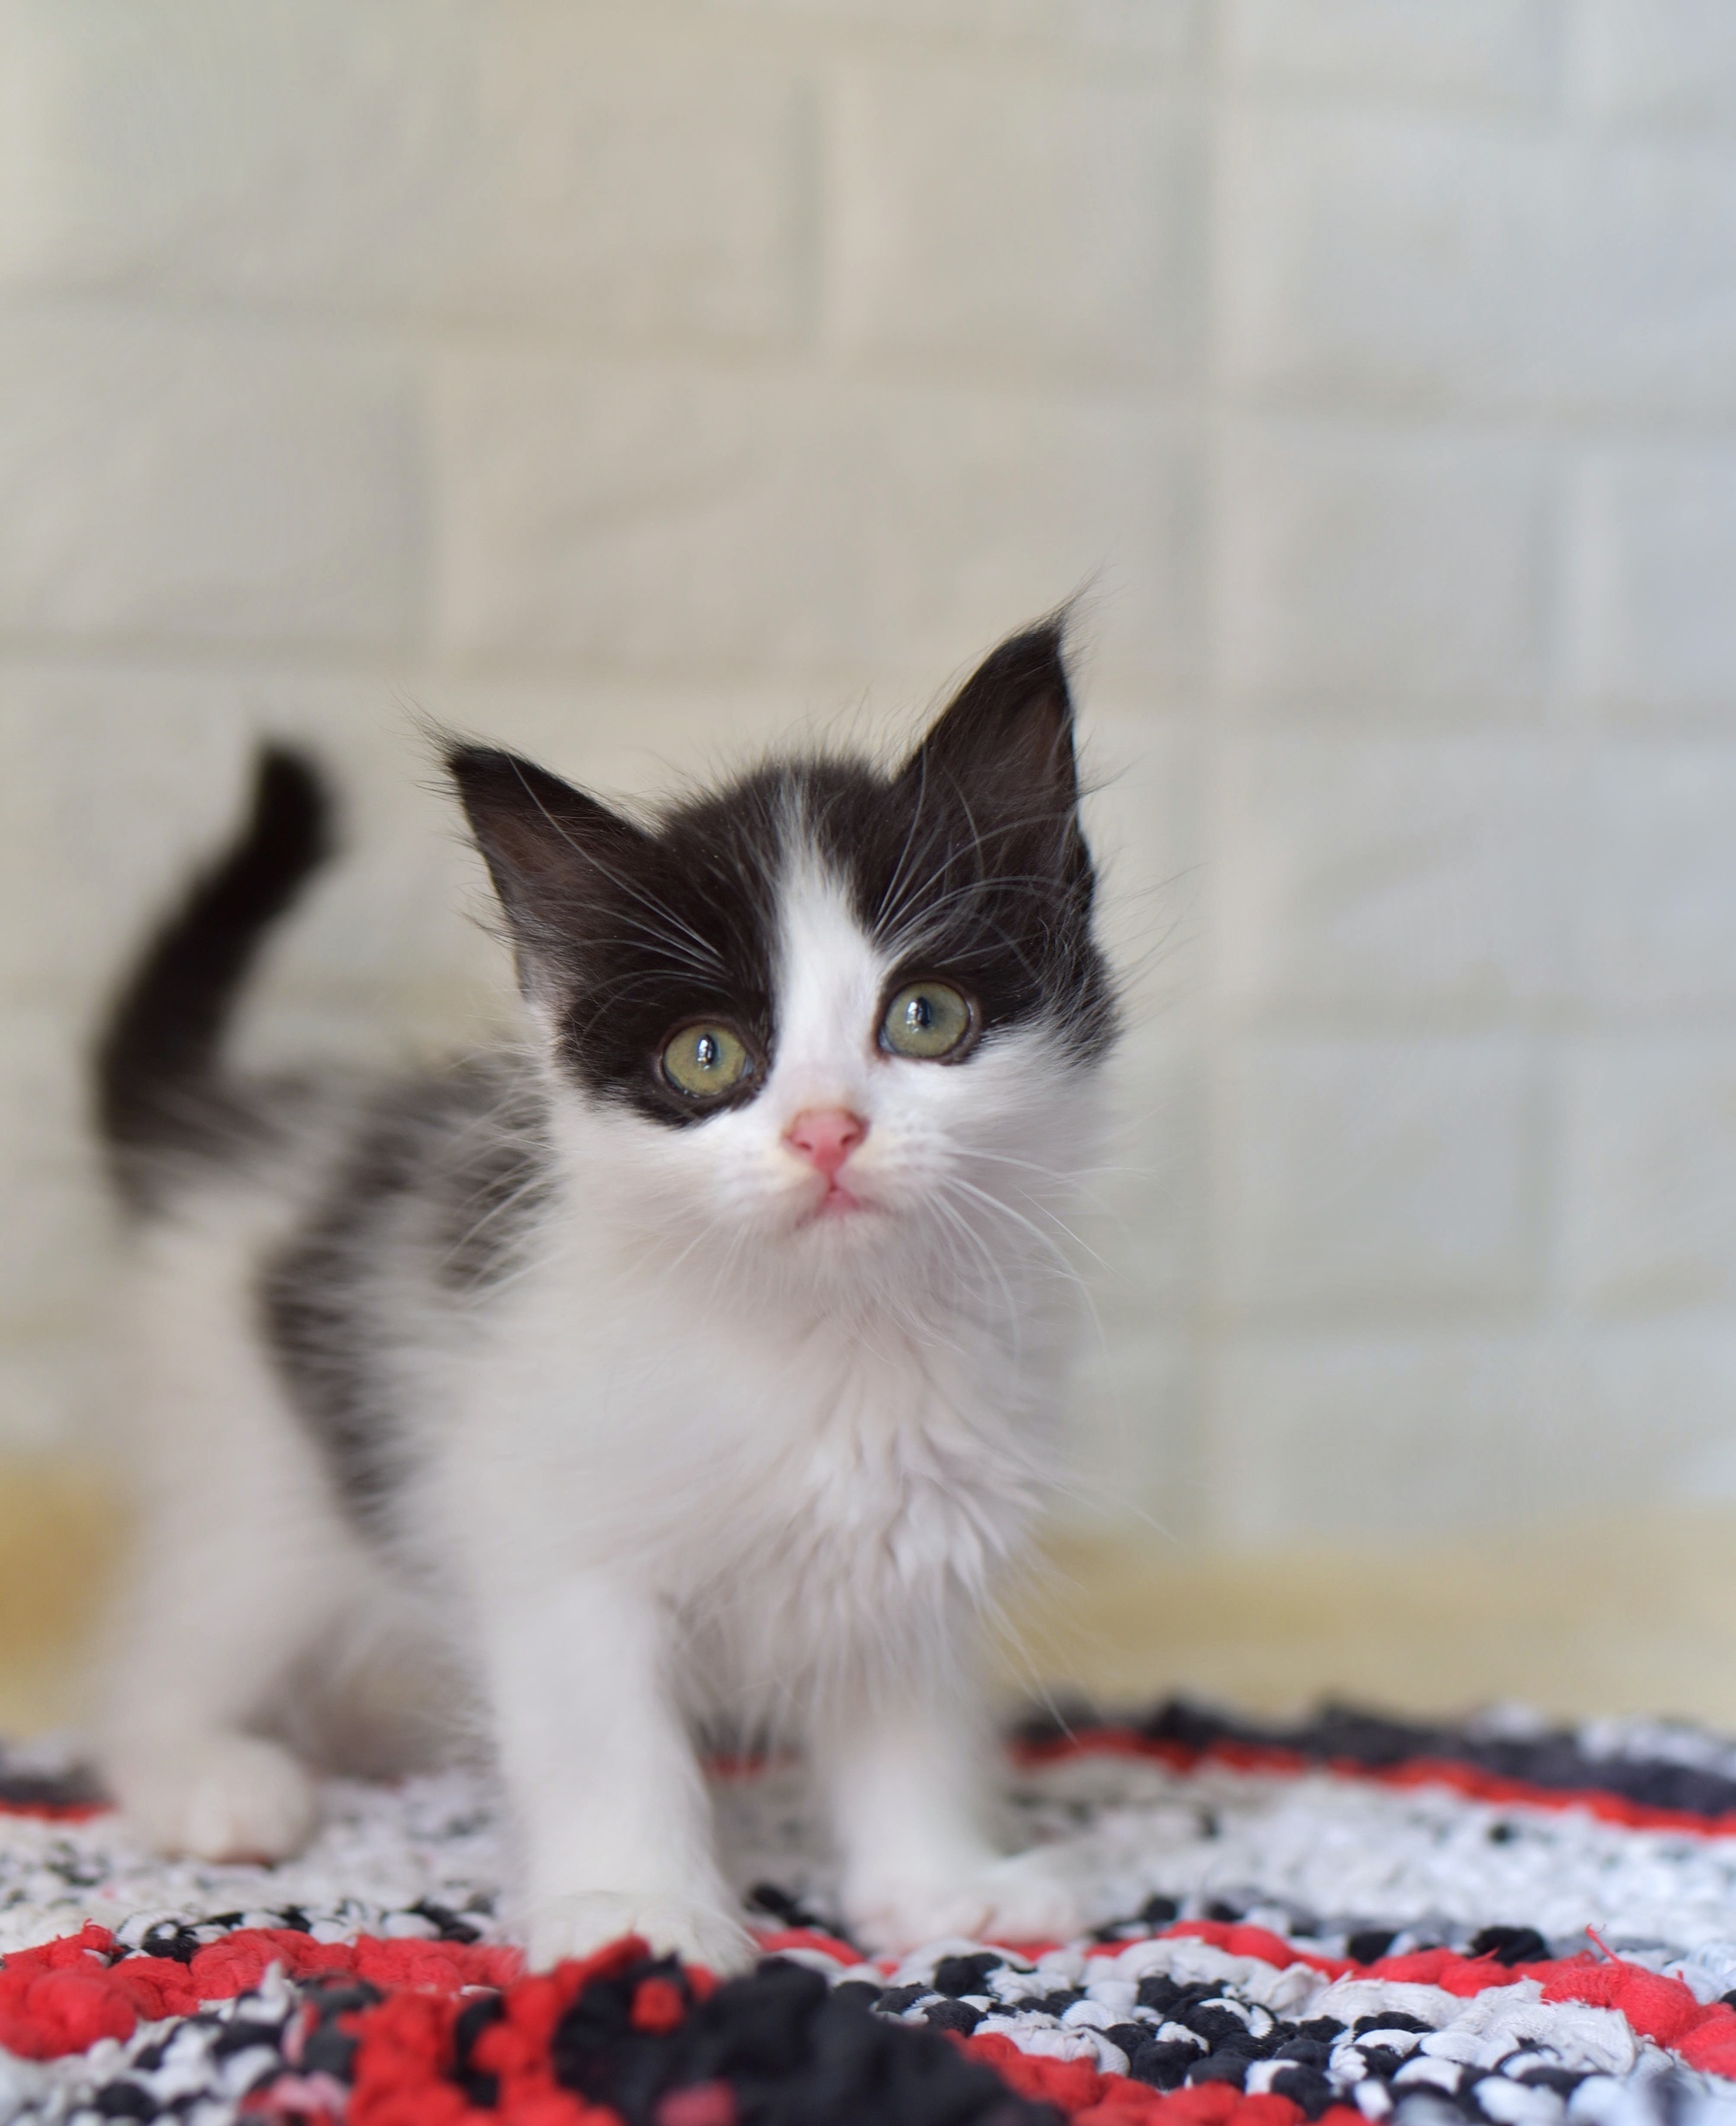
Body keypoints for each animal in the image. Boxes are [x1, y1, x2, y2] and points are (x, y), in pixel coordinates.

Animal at [94, 620, 1113, 1964]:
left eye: (926, 1017)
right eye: (707, 1056)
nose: (827, 1132)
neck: (824, 1344)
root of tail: (226, 1139)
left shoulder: (914, 1542)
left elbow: (908, 1730)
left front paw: (940, 1890)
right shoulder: (551, 1542)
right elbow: (605, 1744)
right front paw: (640, 1914)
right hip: (263, 1490)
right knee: (156, 1664)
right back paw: (217, 1781)